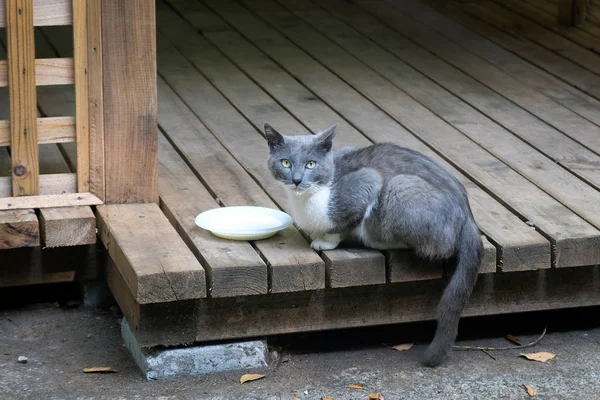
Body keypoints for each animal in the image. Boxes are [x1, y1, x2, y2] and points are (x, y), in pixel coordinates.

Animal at [264, 121, 486, 366]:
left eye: (310, 164)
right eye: (286, 162)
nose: (296, 179)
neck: (307, 200)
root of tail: (469, 215)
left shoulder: (366, 184)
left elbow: (342, 225)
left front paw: (325, 241)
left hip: (399, 188)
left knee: (440, 247)